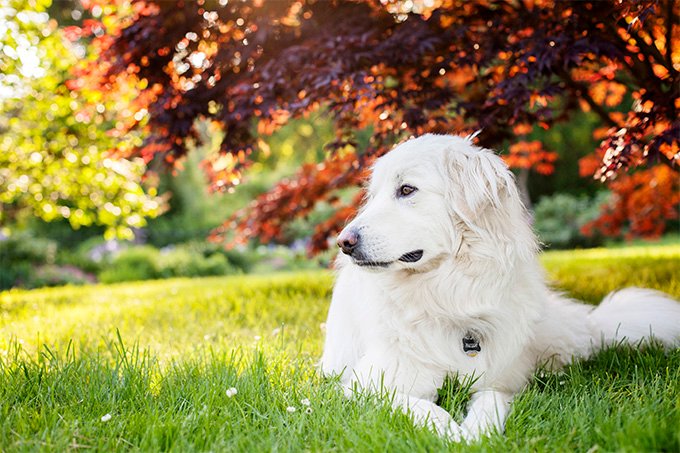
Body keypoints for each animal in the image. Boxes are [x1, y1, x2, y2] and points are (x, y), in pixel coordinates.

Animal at [322, 132, 680, 440]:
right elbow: (421, 406)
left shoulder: (498, 380)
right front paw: (452, 433)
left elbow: (491, 401)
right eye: (374, 196)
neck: (447, 294)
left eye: (407, 190)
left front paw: (477, 433)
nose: (343, 242)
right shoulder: (370, 385)